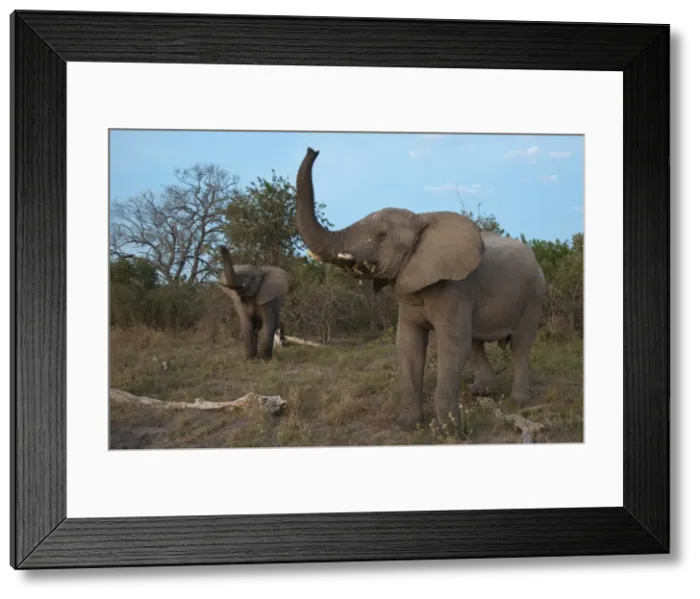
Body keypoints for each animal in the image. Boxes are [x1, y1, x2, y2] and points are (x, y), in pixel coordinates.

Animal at [295, 147, 546, 436]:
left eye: (381, 235)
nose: (313, 150)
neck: (422, 220)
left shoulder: (456, 288)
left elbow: (452, 345)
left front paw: (450, 432)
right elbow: (408, 345)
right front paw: (407, 426)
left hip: (534, 293)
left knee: (520, 345)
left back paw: (518, 402)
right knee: (477, 342)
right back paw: (482, 393)